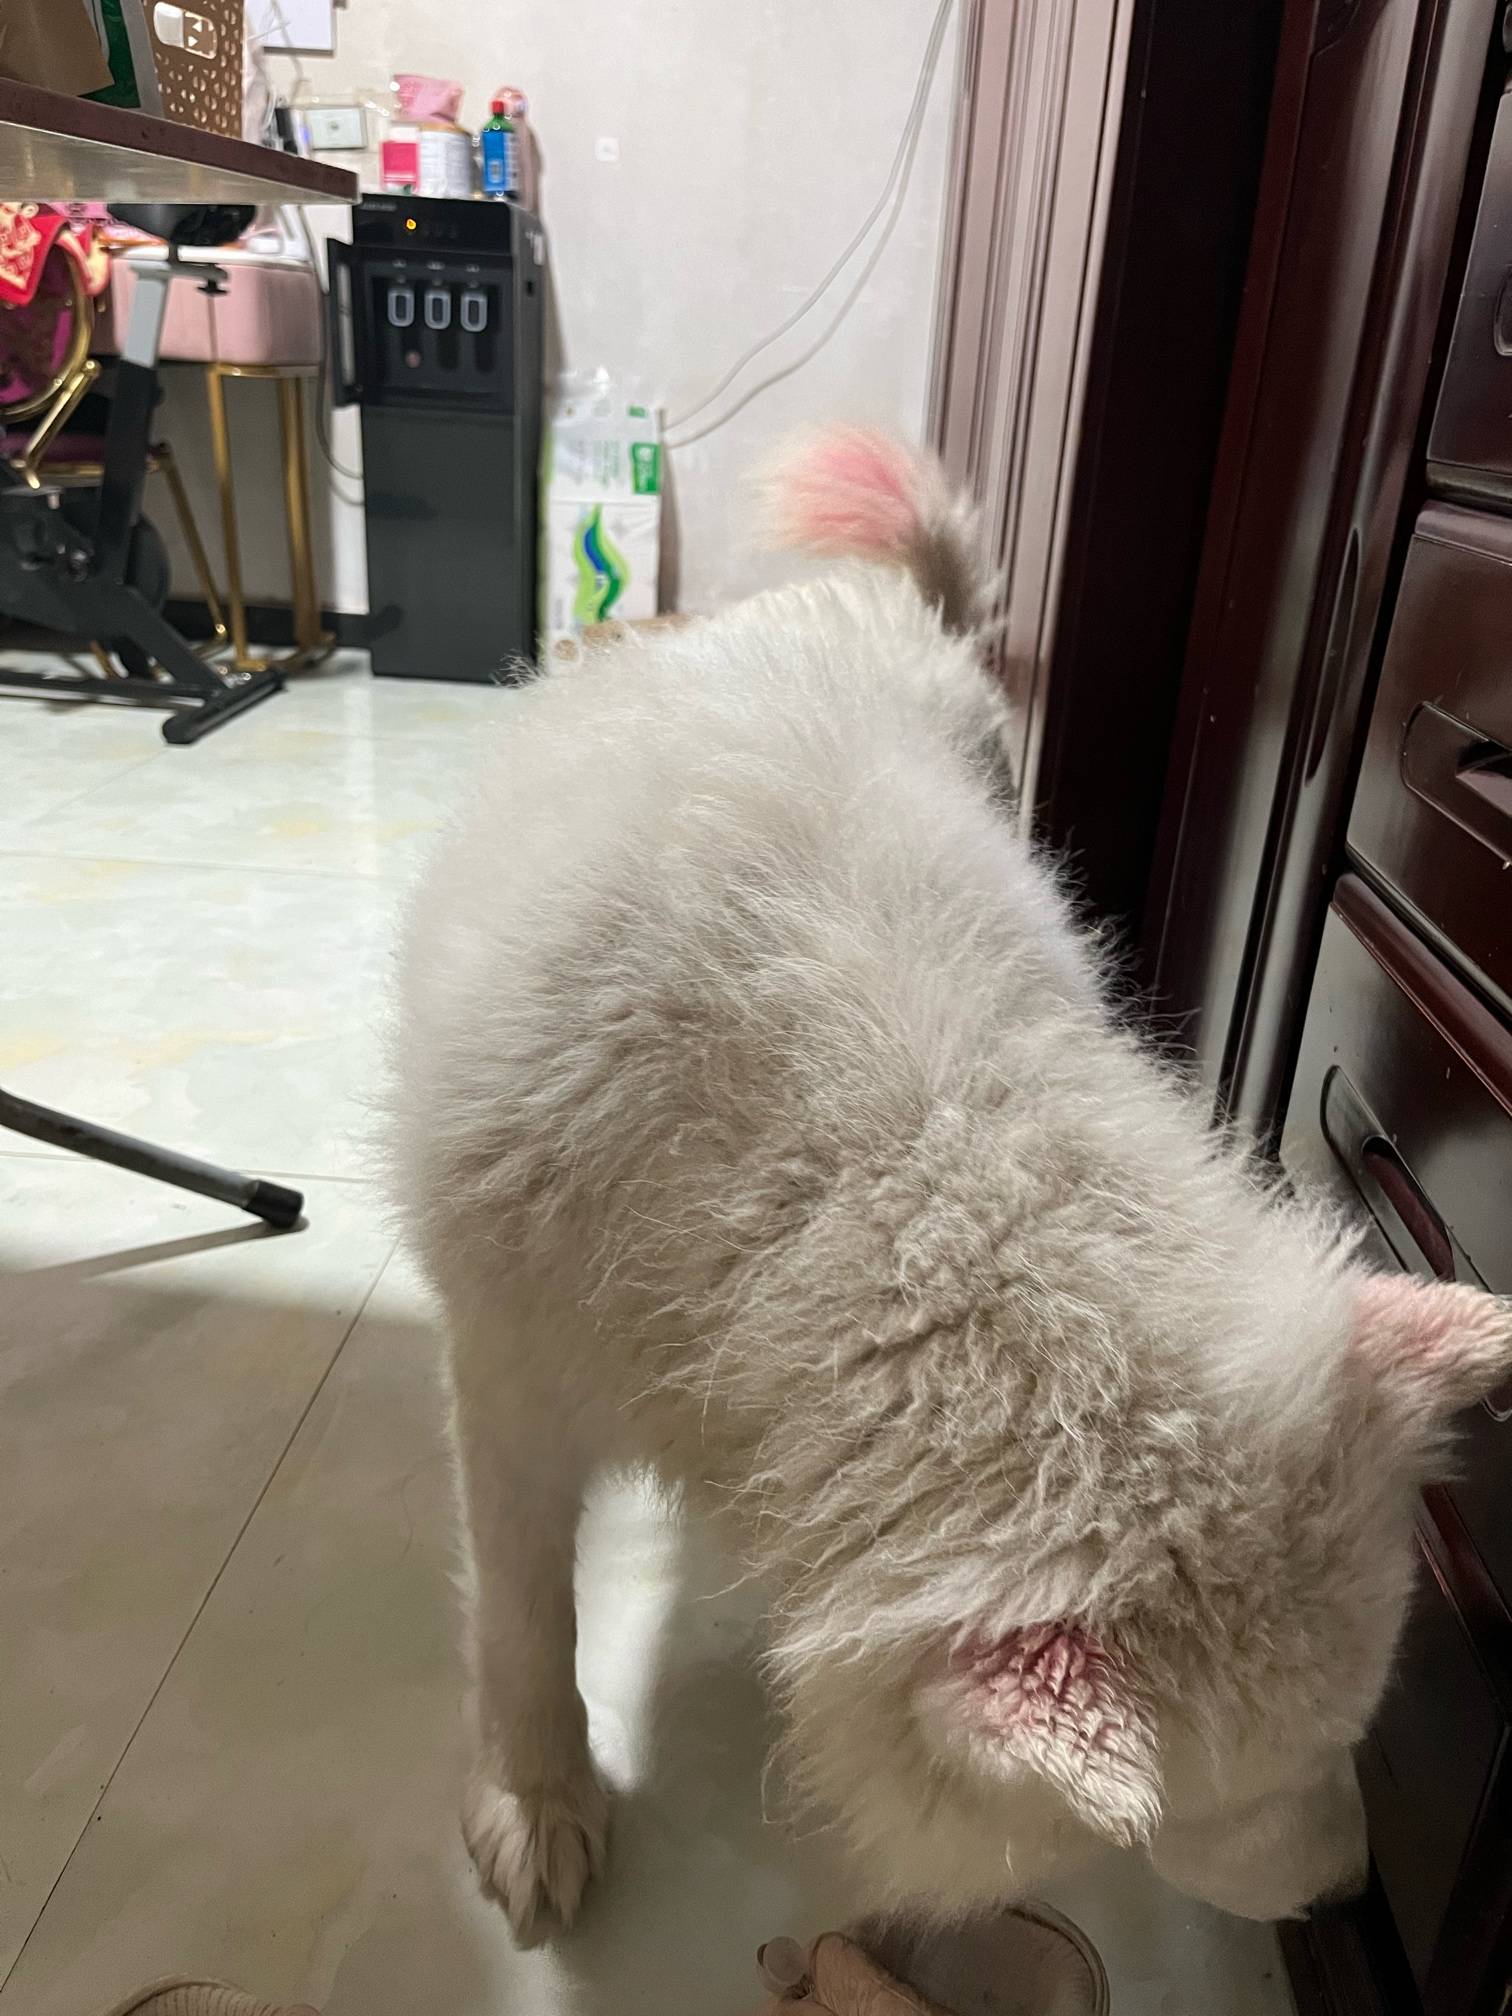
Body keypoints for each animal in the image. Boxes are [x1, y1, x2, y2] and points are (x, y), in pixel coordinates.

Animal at [387, 427, 1512, 1943]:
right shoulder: (512, 1370)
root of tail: (892, 603)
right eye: (1245, 1795)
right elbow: (521, 1611)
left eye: (1358, 1734)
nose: (1344, 1893)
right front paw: (538, 1798)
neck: (900, 1170)